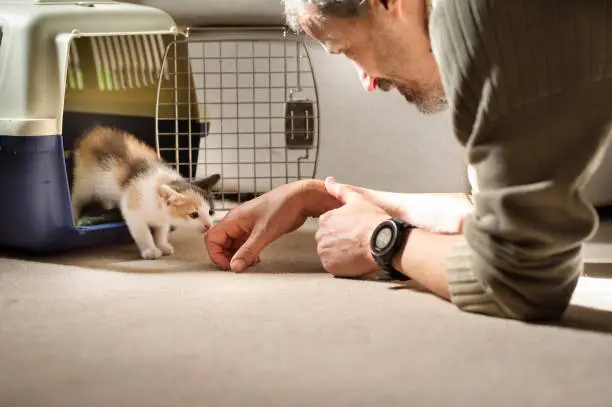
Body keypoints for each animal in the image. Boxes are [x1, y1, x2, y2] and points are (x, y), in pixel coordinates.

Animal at [71, 127, 221, 260]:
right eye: (193, 215)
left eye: (211, 212)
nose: (208, 225)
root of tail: (94, 132)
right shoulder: (131, 209)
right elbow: (143, 232)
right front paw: (151, 250)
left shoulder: (162, 218)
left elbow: (162, 230)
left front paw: (163, 245)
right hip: (85, 181)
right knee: (77, 198)